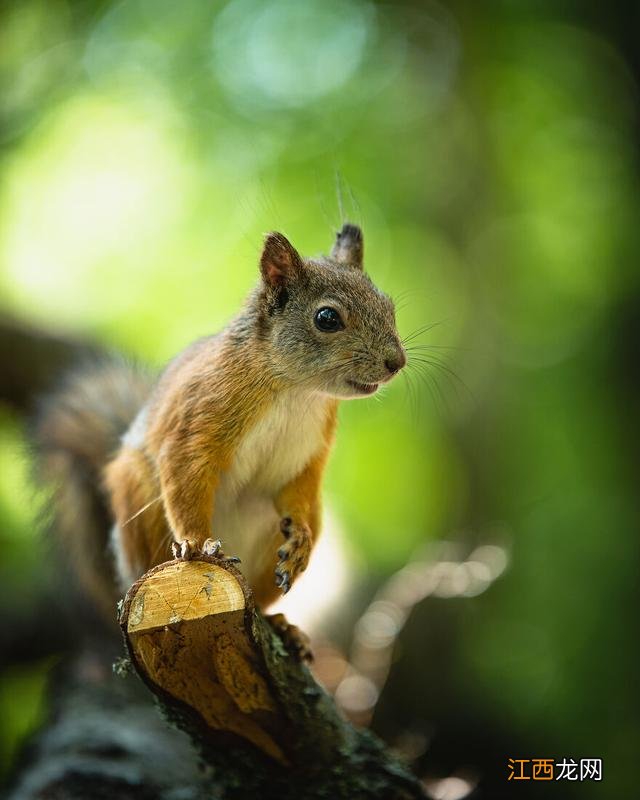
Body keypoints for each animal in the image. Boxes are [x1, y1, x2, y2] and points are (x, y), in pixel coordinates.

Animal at [35, 225, 404, 624]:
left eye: (389, 306)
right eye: (327, 318)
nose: (396, 362)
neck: (297, 391)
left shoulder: (307, 453)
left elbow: (298, 488)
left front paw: (300, 538)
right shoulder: (196, 421)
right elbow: (186, 478)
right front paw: (199, 544)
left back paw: (279, 623)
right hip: (139, 497)